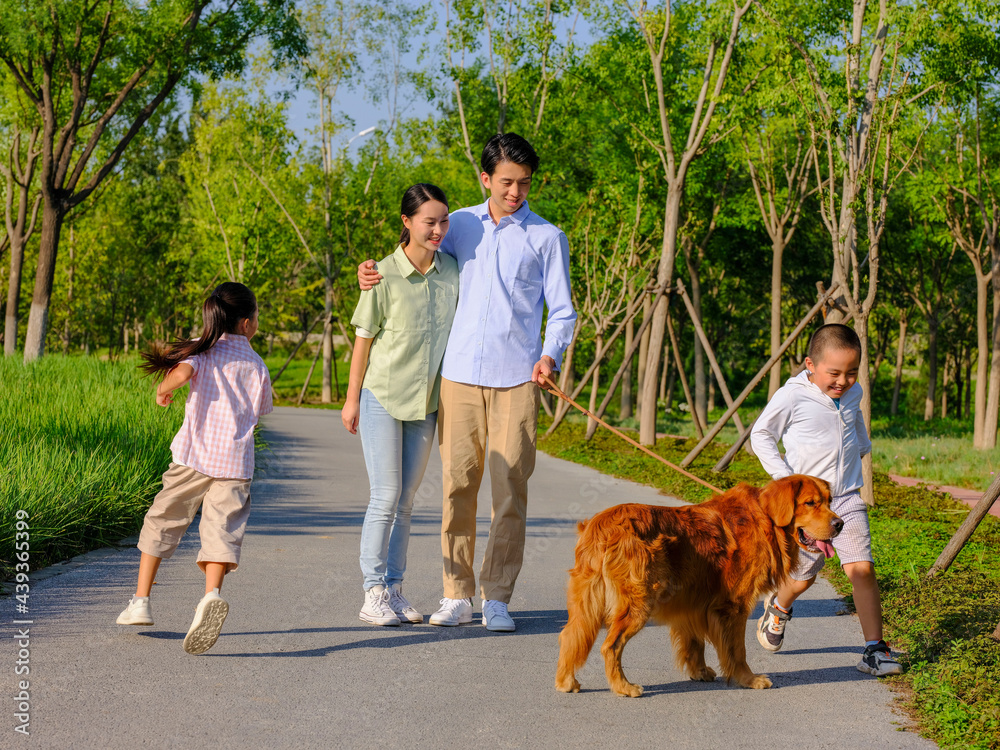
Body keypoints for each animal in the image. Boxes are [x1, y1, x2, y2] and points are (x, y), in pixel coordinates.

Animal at [552, 476, 840, 700]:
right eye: (810, 503)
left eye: (829, 501)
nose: (840, 524)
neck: (766, 519)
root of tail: (600, 526)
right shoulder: (734, 607)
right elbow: (738, 651)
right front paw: (748, 679)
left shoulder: (691, 601)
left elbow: (695, 643)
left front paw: (699, 672)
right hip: (639, 603)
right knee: (610, 646)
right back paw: (623, 687)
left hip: (586, 603)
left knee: (570, 636)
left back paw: (566, 681)